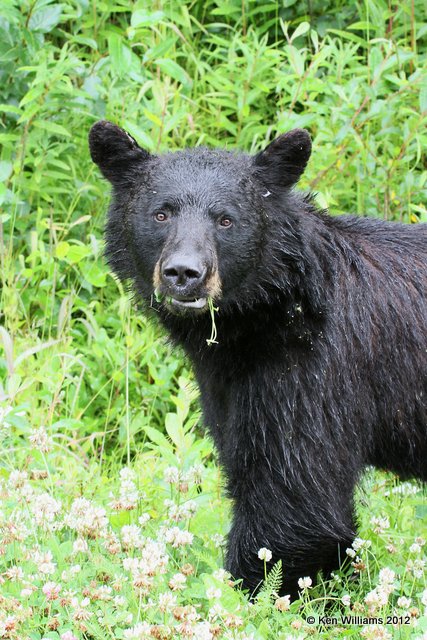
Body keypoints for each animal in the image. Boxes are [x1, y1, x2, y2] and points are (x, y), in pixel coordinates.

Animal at [88, 121, 426, 600]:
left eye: (226, 219)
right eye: (161, 214)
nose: (184, 273)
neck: (275, 306)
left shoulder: (316, 371)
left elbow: (294, 500)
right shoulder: (229, 385)